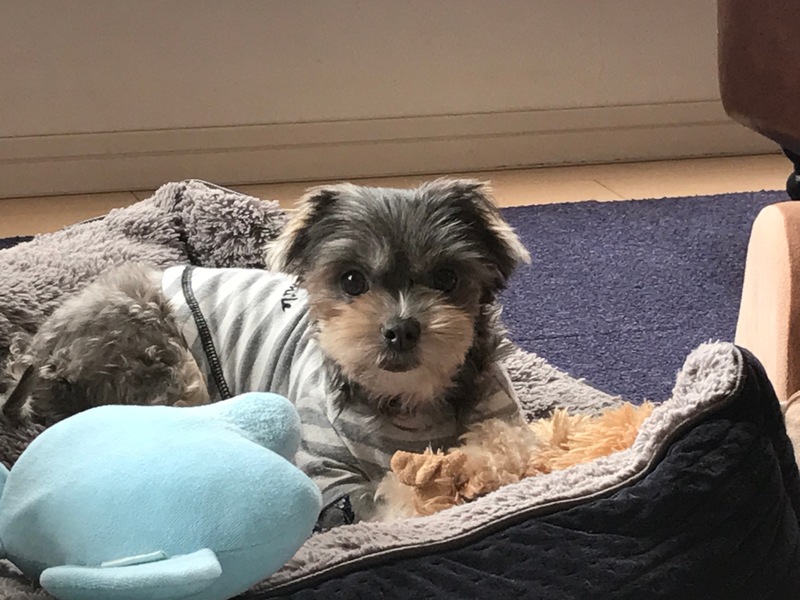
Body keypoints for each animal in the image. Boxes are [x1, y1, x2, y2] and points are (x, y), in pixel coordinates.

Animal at [1, 178, 530, 526]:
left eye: (447, 278)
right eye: (352, 280)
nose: (400, 329)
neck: (407, 403)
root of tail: (43, 352)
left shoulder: (501, 413)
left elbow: (504, 449)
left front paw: (471, 471)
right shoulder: (328, 474)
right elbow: (380, 505)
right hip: (167, 369)